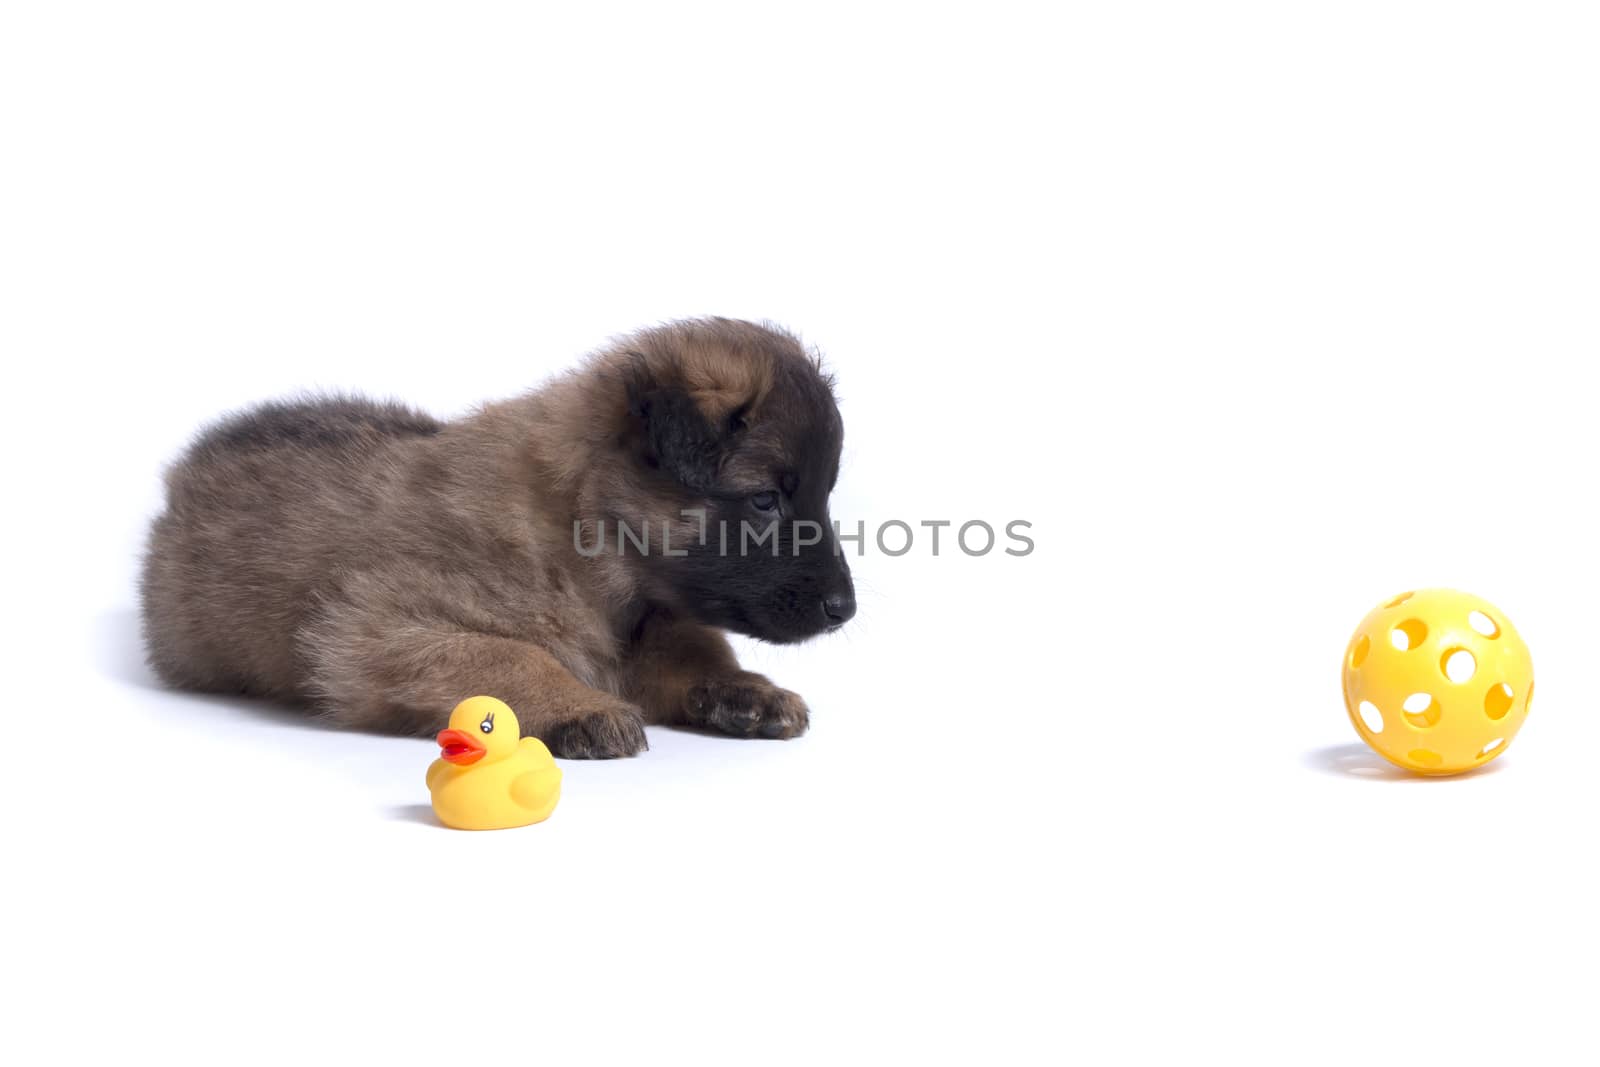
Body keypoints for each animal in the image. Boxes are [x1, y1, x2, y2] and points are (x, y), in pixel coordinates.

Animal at [144, 319, 857, 758]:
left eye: (821, 495)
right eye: (764, 500)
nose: (844, 611)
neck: (583, 528)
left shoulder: (654, 620)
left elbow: (695, 651)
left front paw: (744, 690)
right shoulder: (372, 631)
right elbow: (509, 655)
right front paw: (574, 705)